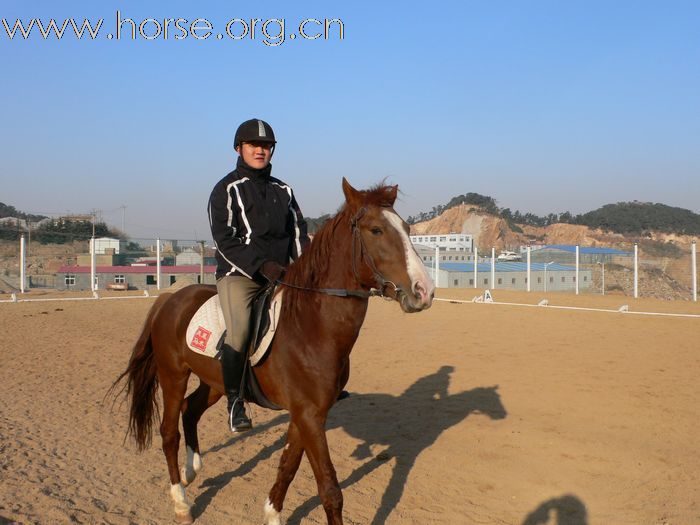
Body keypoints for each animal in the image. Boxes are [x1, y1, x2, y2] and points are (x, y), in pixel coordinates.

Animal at [113, 178, 434, 520]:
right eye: (376, 230)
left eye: (407, 229)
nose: (424, 291)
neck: (310, 326)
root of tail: (170, 298)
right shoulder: (308, 415)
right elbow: (330, 490)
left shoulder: (308, 413)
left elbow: (288, 465)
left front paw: (272, 513)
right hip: (173, 375)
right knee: (169, 431)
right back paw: (181, 501)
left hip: (214, 382)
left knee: (191, 409)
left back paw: (192, 469)